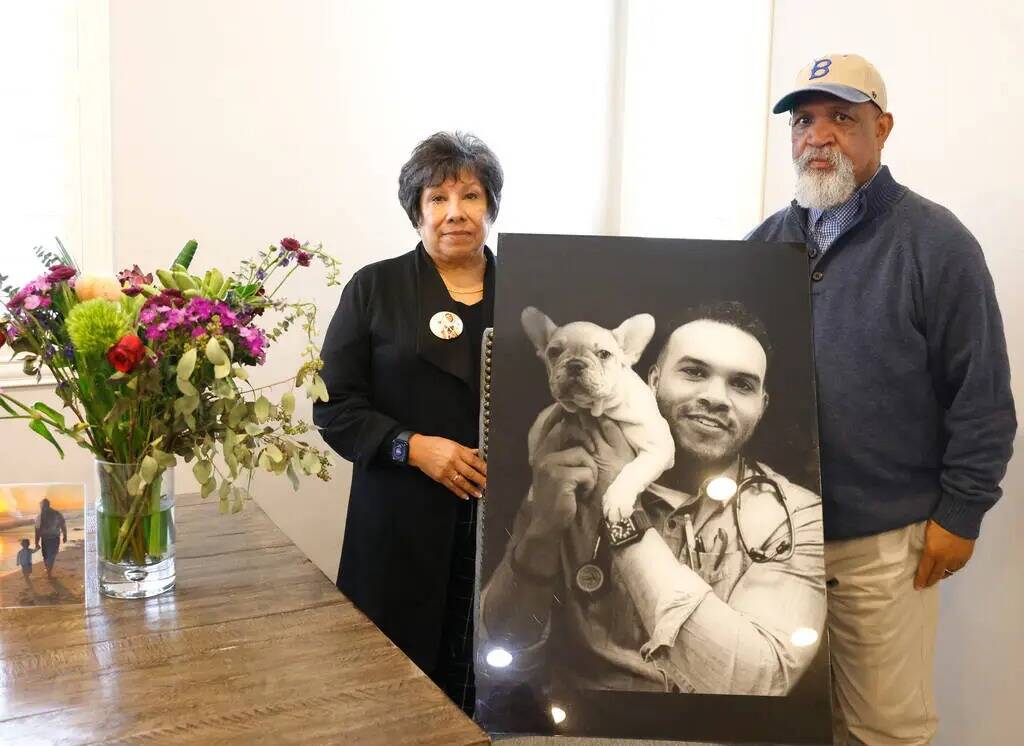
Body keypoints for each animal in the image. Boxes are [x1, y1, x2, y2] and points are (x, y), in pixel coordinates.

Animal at [524, 304, 675, 521]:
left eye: (604, 354)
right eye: (553, 351)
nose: (575, 364)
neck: (597, 408)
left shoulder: (658, 448)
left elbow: (634, 469)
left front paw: (617, 500)